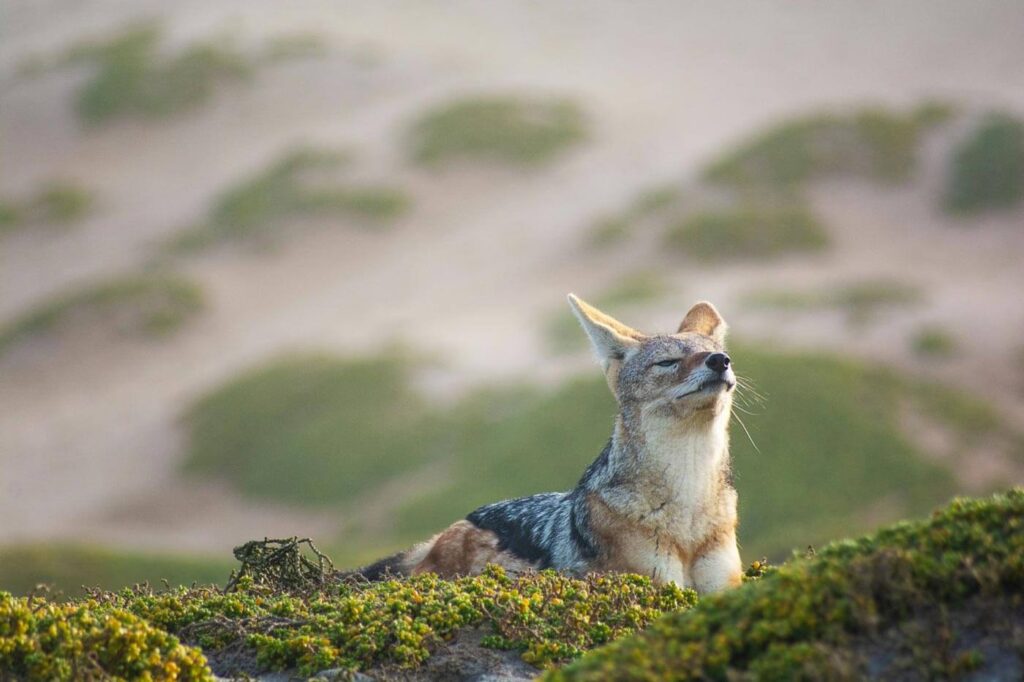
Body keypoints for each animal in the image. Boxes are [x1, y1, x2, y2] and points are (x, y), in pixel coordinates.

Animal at [347, 295, 743, 593]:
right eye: (667, 362)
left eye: (716, 354)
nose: (720, 360)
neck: (689, 511)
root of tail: (449, 529)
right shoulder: (655, 583)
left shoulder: (725, 586)